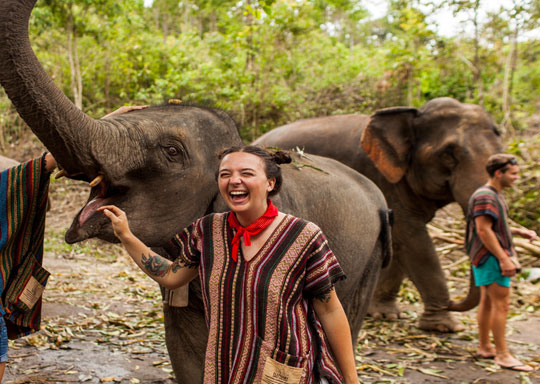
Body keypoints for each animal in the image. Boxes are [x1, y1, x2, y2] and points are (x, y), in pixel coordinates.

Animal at [255, 99, 504, 332]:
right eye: (449, 154)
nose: (451, 302)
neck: (412, 115)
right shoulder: (384, 177)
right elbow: (413, 239)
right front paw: (444, 326)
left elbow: (405, 241)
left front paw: (392, 315)